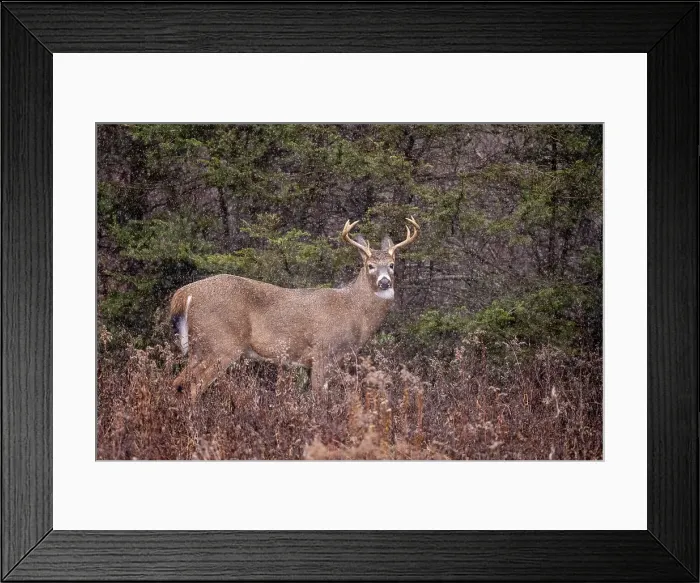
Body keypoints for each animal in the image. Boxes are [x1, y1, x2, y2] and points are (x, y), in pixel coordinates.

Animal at [169, 217, 420, 401]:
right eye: (370, 266)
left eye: (392, 265)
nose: (384, 282)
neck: (352, 310)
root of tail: (183, 295)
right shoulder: (322, 350)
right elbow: (319, 398)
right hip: (221, 342)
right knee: (193, 386)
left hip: (200, 346)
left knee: (177, 382)